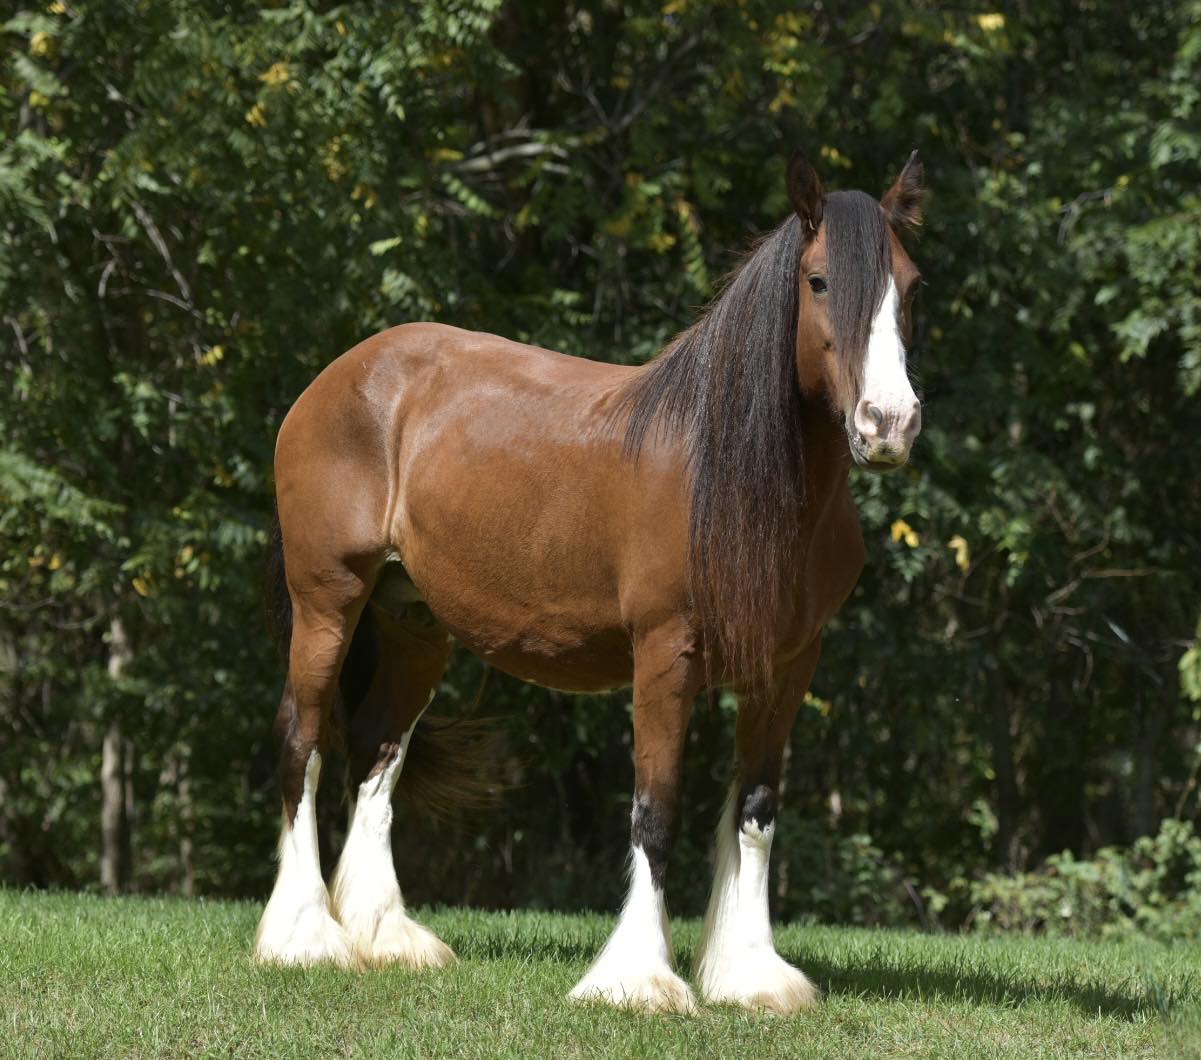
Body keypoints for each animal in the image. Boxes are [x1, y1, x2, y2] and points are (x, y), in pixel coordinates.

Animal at [253, 150, 925, 1015]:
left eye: (909, 284)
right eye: (816, 281)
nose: (888, 425)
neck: (731, 479)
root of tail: (340, 375)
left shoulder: (787, 665)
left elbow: (755, 810)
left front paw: (748, 975)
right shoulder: (665, 654)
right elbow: (655, 809)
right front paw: (637, 979)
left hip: (412, 623)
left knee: (375, 749)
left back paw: (388, 938)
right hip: (327, 601)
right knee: (300, 739)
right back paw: (305, 939)